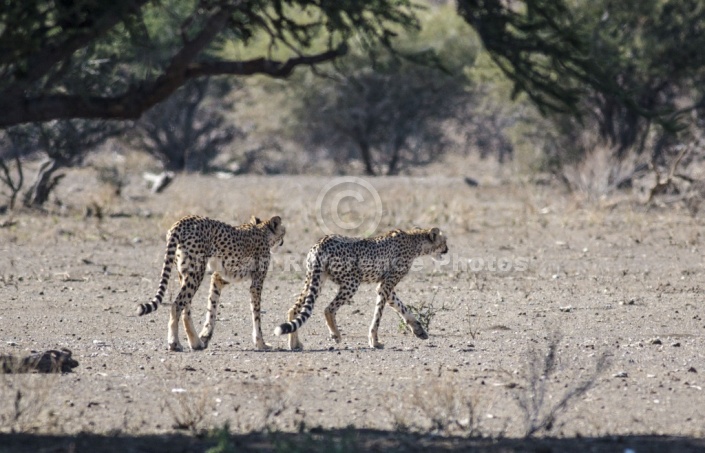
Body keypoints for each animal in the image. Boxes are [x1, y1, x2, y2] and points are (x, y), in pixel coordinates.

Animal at [135, 215, 284, 350]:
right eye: (283, 231)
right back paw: (174, 342)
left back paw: (196, 343)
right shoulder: (256, 283)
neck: (263, 231)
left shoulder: (219, 278)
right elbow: (256, 314)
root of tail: (183, 220)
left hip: (183, 273)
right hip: (196, 273)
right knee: (177, 304)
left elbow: (212, 306)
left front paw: (205, 335)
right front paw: (261, 343)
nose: (283, 240)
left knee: (186, 308)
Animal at [274, 226, 446, 350]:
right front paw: (374, 341)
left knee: (293, 309)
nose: (447, 249)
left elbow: (400, 306)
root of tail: (322, 241)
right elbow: (378, 316)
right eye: (444, 241)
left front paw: (418, 330)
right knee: (328, 309)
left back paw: (294, 344)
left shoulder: (384, 285)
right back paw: (336, 335)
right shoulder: (386, 285)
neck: (414, 240)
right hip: (351, 282)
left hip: (315, 280)